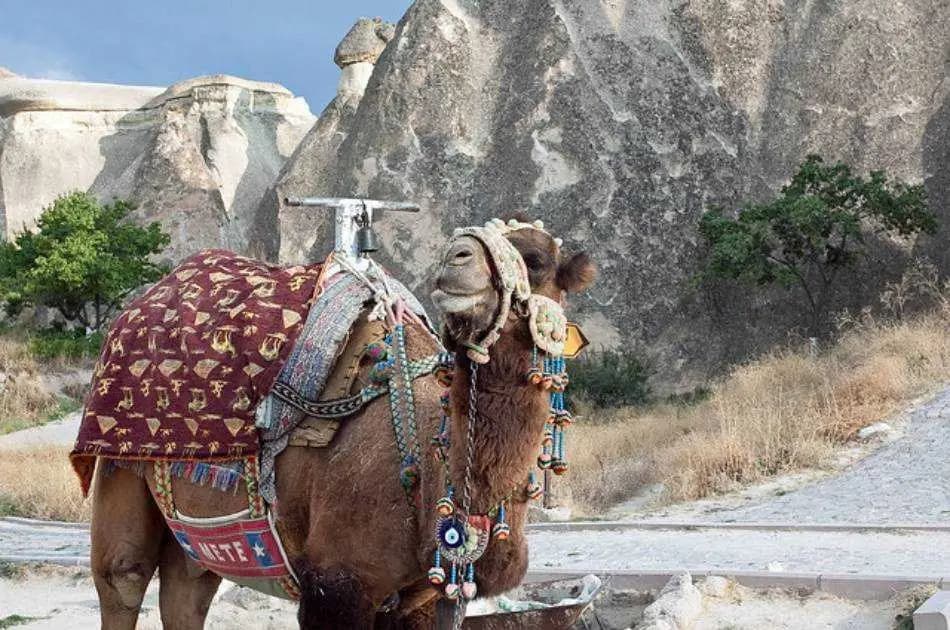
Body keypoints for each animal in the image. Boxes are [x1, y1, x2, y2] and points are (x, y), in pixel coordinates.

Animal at [87, 218, 595, 629]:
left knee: (189, 587)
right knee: (124, 576)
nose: (457, 258)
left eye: (536, 260)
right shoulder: (335, 585)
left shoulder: (421, 599)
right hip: (117, 465)